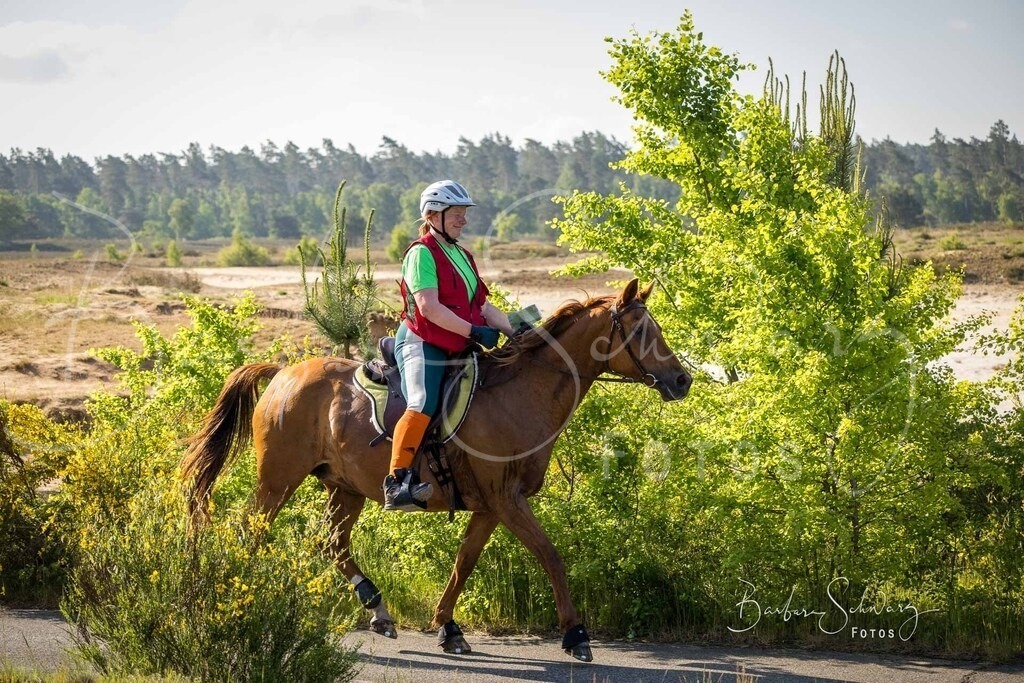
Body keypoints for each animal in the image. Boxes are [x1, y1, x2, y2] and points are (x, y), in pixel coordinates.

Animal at [180, 278, 691, 662]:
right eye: (640, 331)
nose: (682, 379)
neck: (520, 394)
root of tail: (282, 374)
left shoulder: (490, 506)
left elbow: (464, 563)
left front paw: (448, 628)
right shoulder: (507, 500)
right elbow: (550, 555)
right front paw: (575, 635)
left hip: (346, 489)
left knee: (332, 544)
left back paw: (378, 609)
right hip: (278, 482)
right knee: (250, 533)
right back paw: (243, 601)